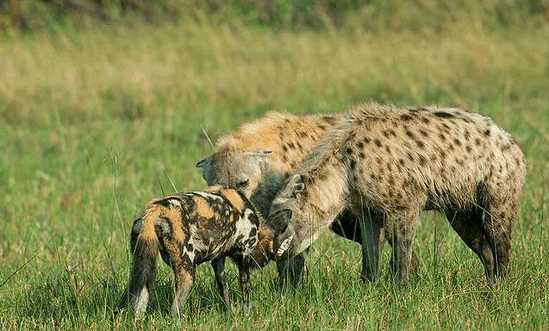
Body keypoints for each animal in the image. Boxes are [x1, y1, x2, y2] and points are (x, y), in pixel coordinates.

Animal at [118, 187, 276, 320]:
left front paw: (229, 314)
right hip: (188, 273)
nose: (262, 264)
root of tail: (154, 210)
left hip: (142, 269)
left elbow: (224, 291)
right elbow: (246, 292)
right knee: (174, 310)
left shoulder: (218, 261)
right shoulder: (243, 257)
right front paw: (247, 315)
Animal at [268, 104, 524, 286]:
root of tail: (512, 142)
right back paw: (488, 287)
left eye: (283, 219)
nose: (272, 250)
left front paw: (400, 288)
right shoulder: (367, 209)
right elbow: (370, 251)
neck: (345, 167)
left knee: (500, 243)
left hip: (498, 191)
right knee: (483, 247)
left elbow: (402, 251)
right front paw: (368, 286)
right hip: (461, 211)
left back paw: (501, 287)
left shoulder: (406, 203)